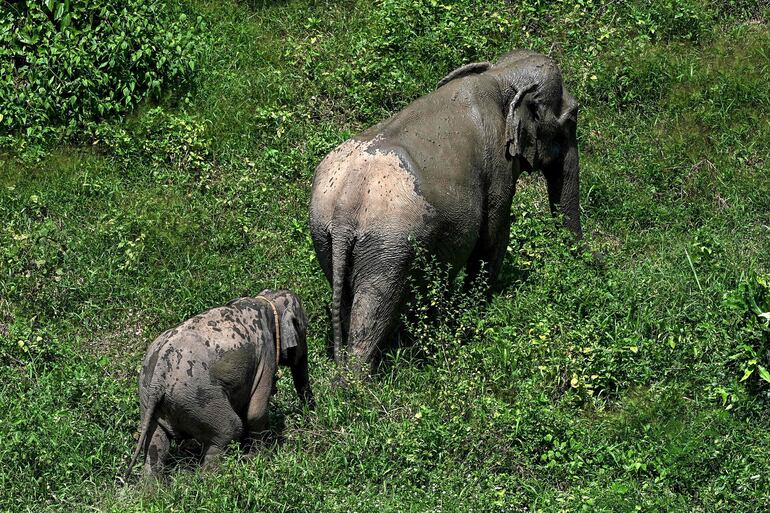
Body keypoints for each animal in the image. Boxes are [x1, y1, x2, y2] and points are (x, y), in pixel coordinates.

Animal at [123, 288, 312, 476]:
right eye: (303, 328)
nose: (309, 417)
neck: (266, 300)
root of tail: (159, 374)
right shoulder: (265, 354)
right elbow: (255, 413)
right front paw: (257, 461)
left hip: (148, 397)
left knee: (156, 442)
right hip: (196, 397)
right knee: (228, 430)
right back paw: (211, 479)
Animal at [308, 51, 580, 372]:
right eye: (573, 117)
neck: (498, 75)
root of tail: (344, 206)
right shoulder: (498, 167)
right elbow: (492, 238)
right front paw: (475, 316)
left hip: (325, 236)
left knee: (347, 298)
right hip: (388, 246)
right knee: (374, 305)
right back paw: (356, 380)